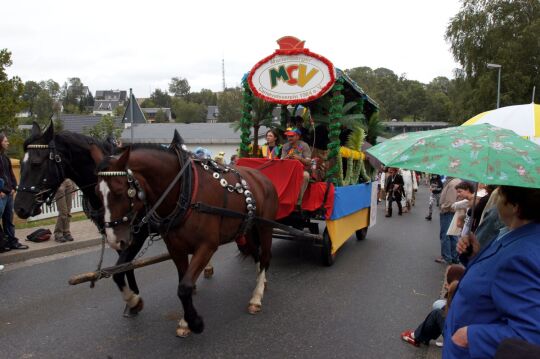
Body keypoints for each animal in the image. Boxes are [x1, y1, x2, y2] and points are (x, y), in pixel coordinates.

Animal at [14, 123, 147, 318]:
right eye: (21, 165)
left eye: (36, 163)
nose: (19, 208)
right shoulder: (118, 237)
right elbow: (124, 266)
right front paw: (133, 300)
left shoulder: (138, 234)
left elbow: (122, 267)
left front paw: (133, 299)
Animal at [94, 143, 276, 338]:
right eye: (98, 193)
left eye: (119, 191)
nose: (114, 240)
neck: (185, 191)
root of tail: (262, 178)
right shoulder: (176, 249)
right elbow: (181, 282)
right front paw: (184, 320)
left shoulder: (207, 246)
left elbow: (185, 287)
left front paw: (194, 323)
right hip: (247, 229)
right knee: (256, 254)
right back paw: (261, 281)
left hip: (265, 227)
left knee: (266, 257)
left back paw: (256, 297)